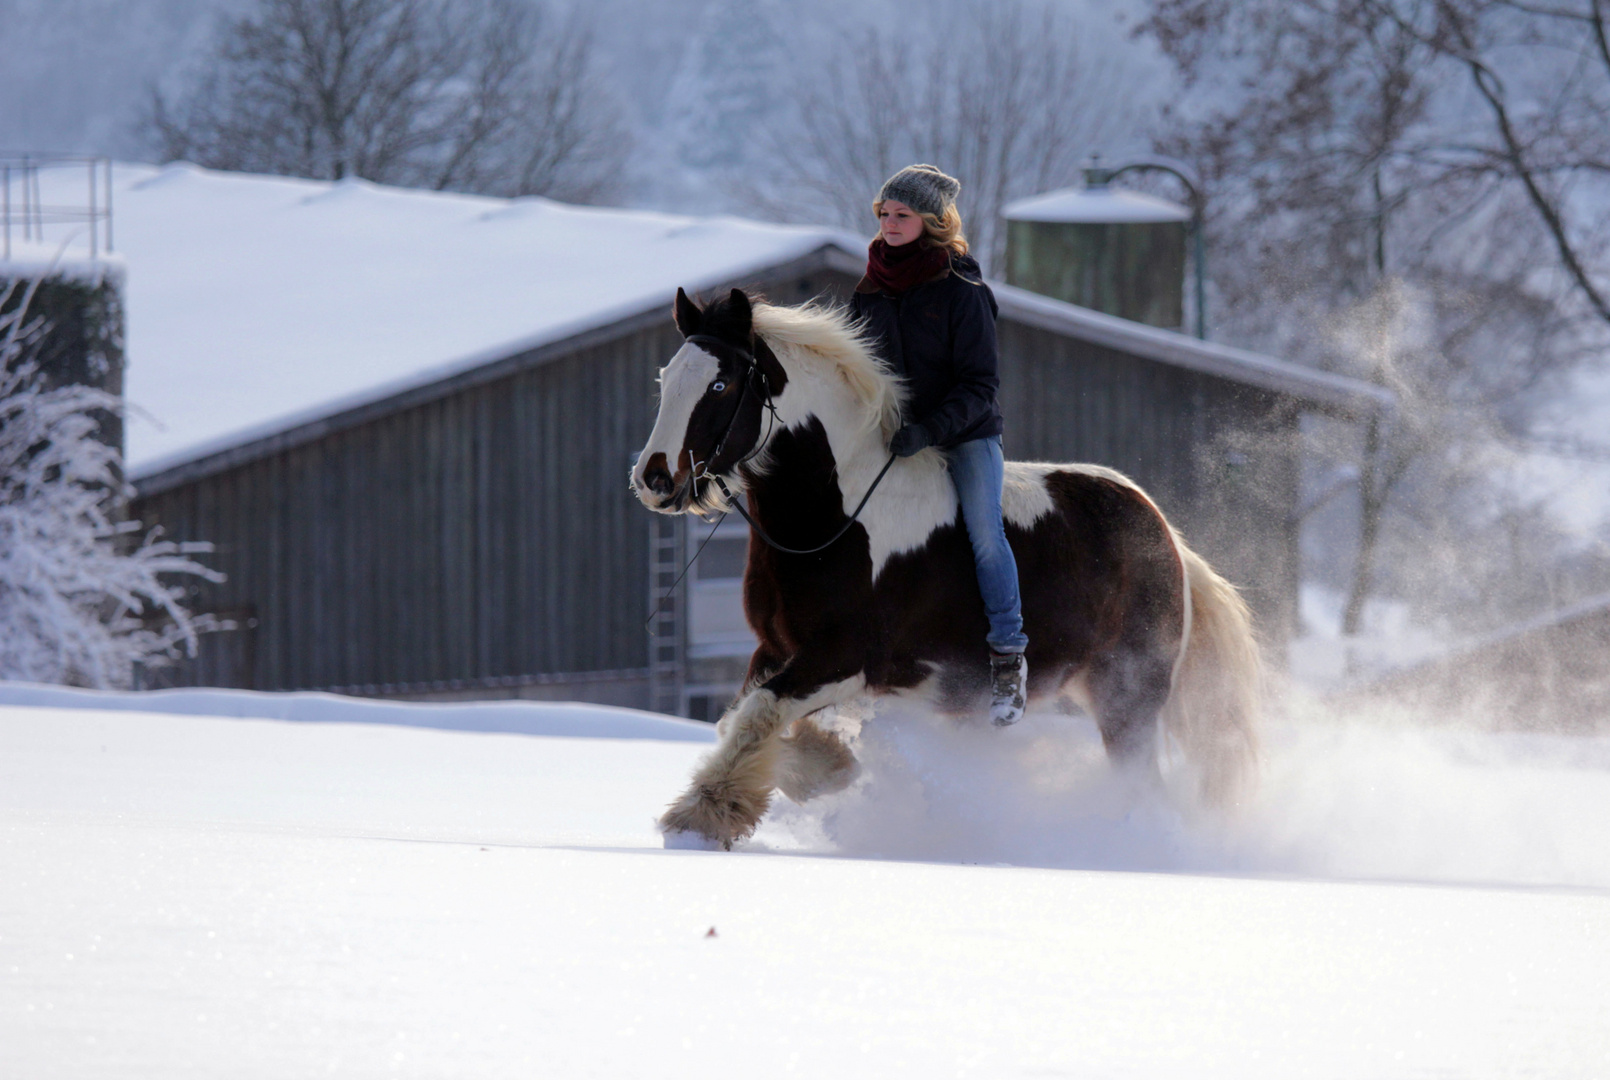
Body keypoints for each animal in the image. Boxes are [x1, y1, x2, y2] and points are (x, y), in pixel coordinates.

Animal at [627, 286, 1255, 856]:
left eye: (720, 384)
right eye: (664, 377)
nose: (654, 479)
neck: (835, 515)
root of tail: (1167, 537)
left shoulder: (844, 658)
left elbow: (758, 714)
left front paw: (702, 816)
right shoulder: (778, 648)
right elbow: (740, 719)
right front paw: (826, 767)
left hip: (1129, 695)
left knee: (1142, 783)